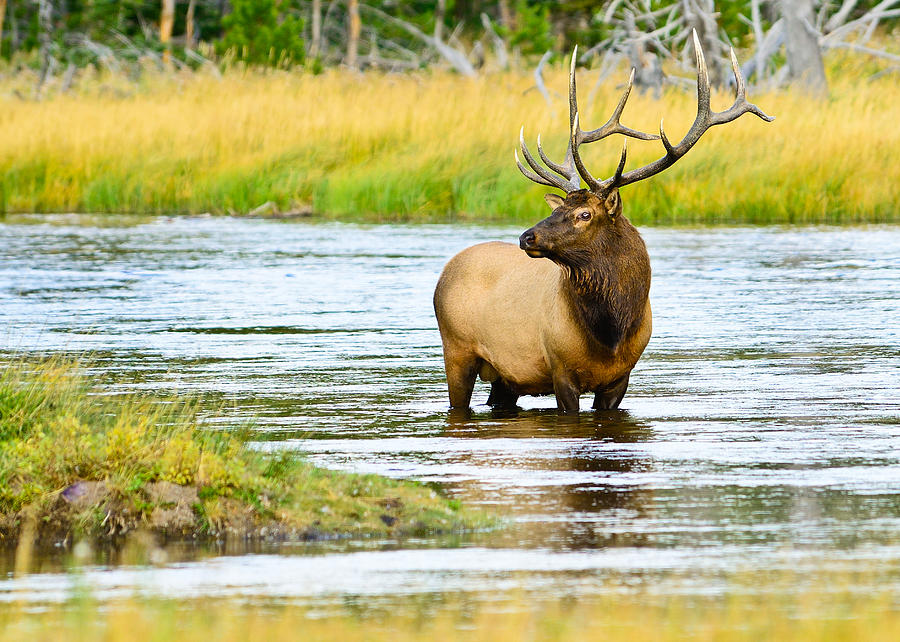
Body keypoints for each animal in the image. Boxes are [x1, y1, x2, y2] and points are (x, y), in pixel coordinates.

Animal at [434, 32, 773, 413]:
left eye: (584, 214)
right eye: (558, 209)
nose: (526, 237)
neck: (611, 334)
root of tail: (448, 269)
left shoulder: (620, 378)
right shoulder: (560, 370)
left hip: (506, 377)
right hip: (456, 350)